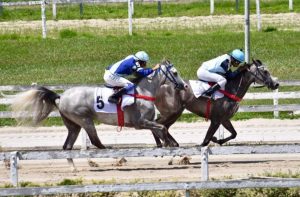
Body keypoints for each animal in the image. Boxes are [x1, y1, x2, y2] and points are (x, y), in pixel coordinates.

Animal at [10, 60, 186, 150]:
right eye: (175, 73)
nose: (184, 85)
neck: (143, 91)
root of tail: (61, 97)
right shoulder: (140, 122)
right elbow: (162, 128)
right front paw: (170, 143)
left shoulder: (148, 122)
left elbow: (159, 130)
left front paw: (169, 143)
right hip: (84, 119)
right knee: (95, 141)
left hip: (73, 124)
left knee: (68, 145)